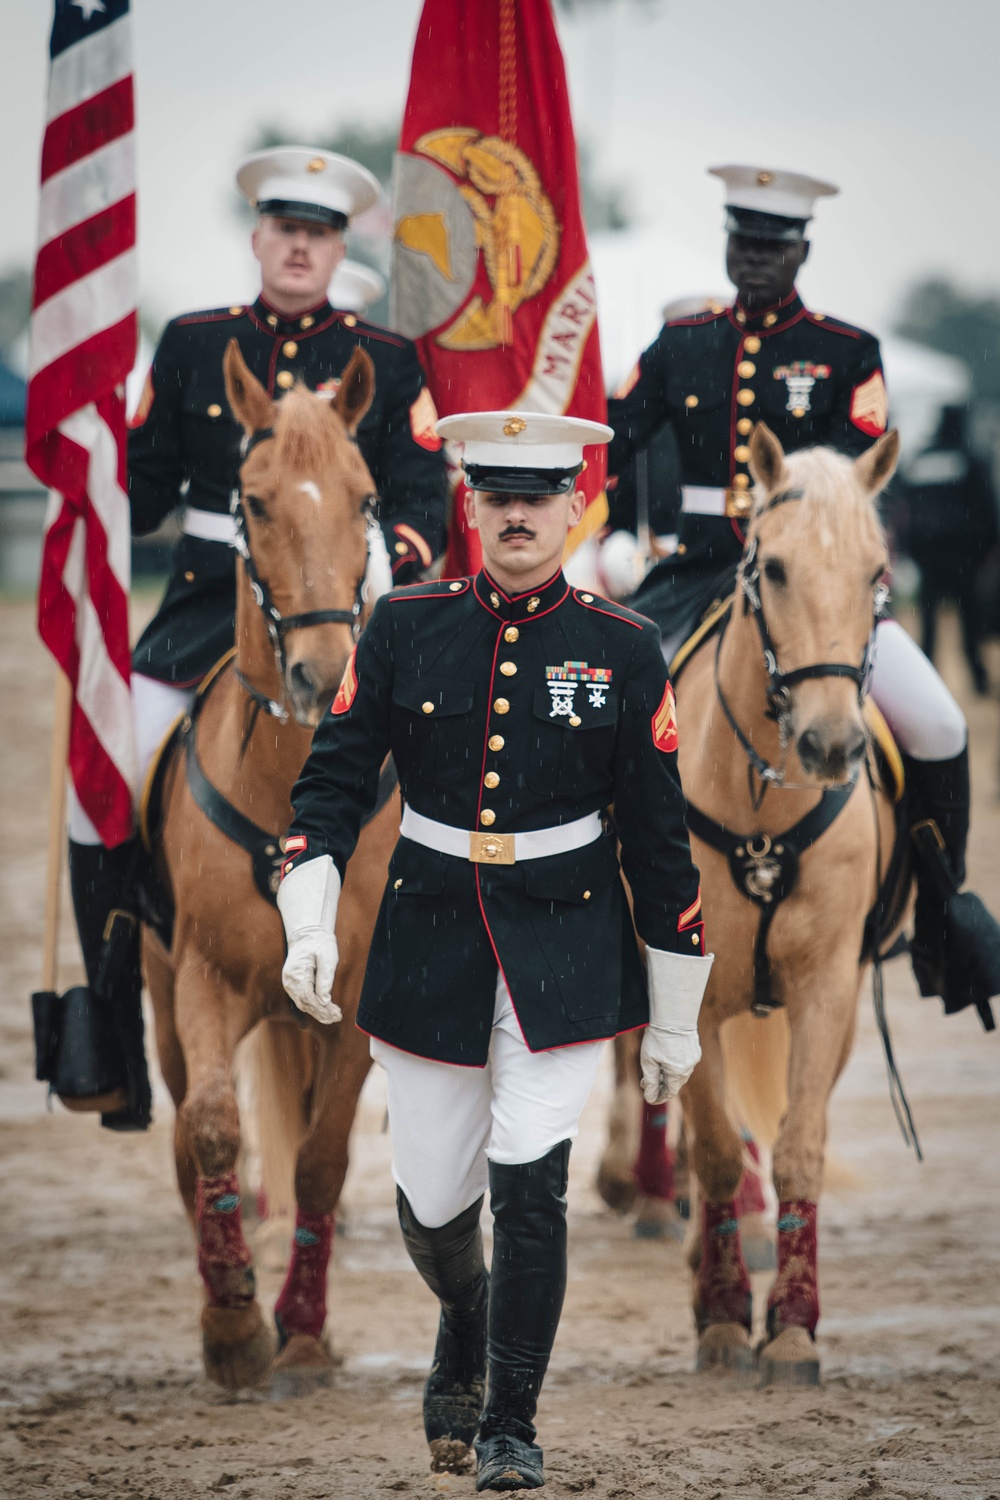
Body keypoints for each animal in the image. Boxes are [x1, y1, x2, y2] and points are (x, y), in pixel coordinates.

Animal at [602, 423, 905, 1380]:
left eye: (877, 572)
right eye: (771, 568)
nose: (830, 744)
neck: (763, 814)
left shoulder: (827, 990)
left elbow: (800, 1147)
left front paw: (796, 1325)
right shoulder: (688, 992)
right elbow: (712, 1151)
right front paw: (727, 1315)